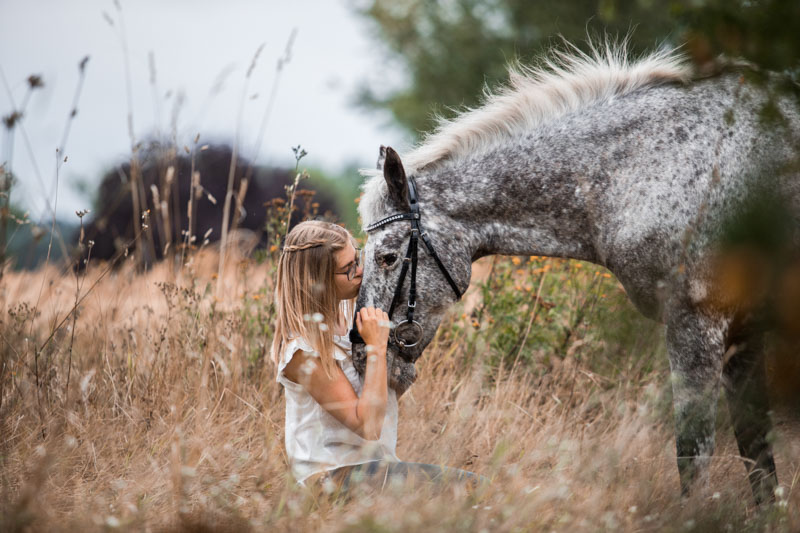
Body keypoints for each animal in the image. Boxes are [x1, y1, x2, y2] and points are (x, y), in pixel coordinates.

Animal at [350, 42, 800, 504]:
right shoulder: (743, 336)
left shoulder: (697, 326)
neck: (650, 167)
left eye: (388, 257)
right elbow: (757, 455)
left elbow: (694, 453)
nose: (361, 355)